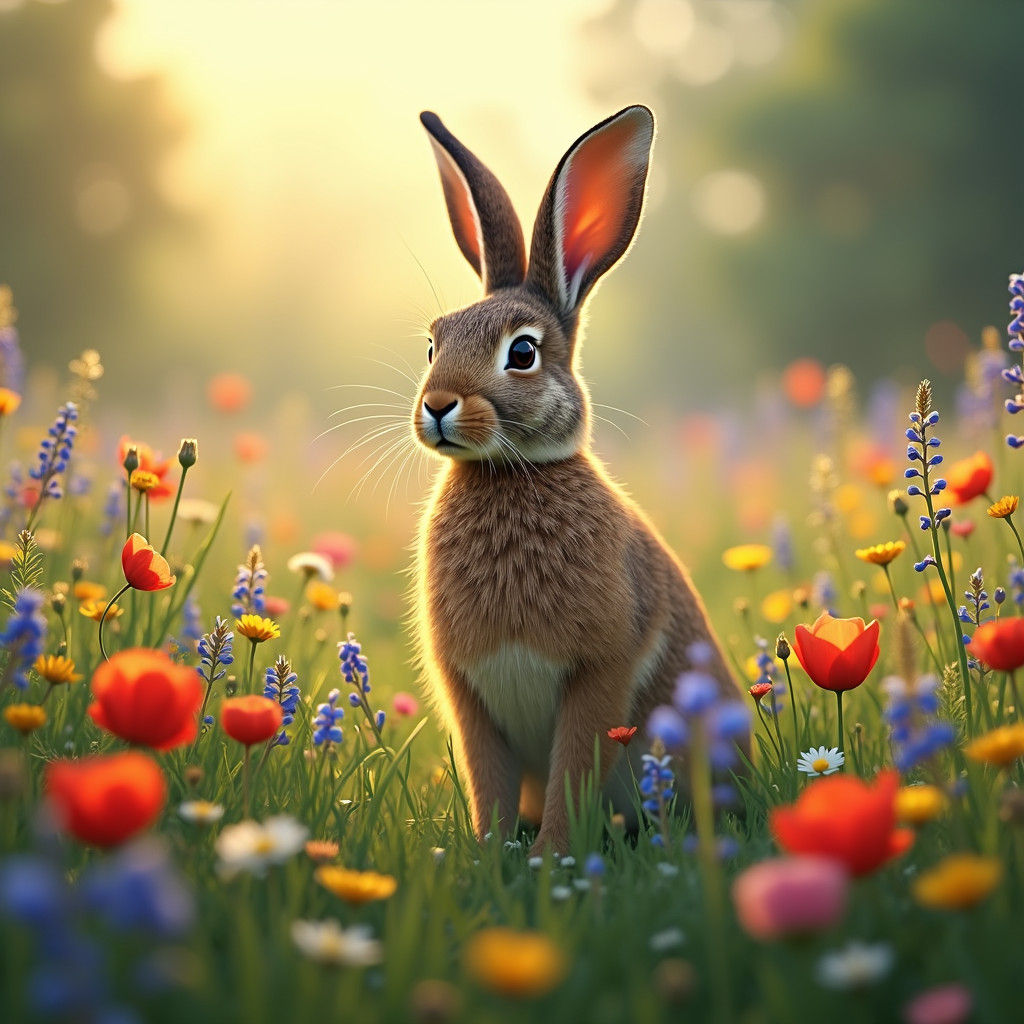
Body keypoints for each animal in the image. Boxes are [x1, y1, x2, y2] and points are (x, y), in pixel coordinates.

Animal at [412, 105, 741, 854]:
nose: (438, 404)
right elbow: (488, 779)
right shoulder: (469, 690)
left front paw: (552, 857)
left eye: (522, 352)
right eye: (433, 342)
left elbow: (573, 770)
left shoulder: (599, 674)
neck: (509, 473)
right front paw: (489, 855)